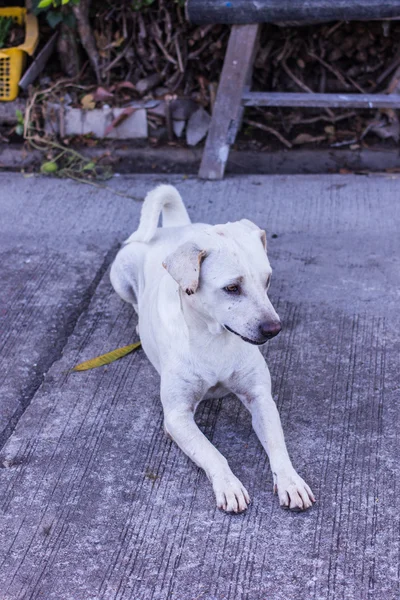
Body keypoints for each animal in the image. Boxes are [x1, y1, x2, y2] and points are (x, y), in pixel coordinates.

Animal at [110, 185, 316, 512]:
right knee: (133, 301)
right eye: (232, 288)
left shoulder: (260, 398)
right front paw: (229, 485)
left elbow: (278, 446)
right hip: (119, 273)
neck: (213, 338)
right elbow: (212, 453)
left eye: (267, 280)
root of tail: (176, 227)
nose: (274, 329)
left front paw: (291, 481)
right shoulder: (177, 416)